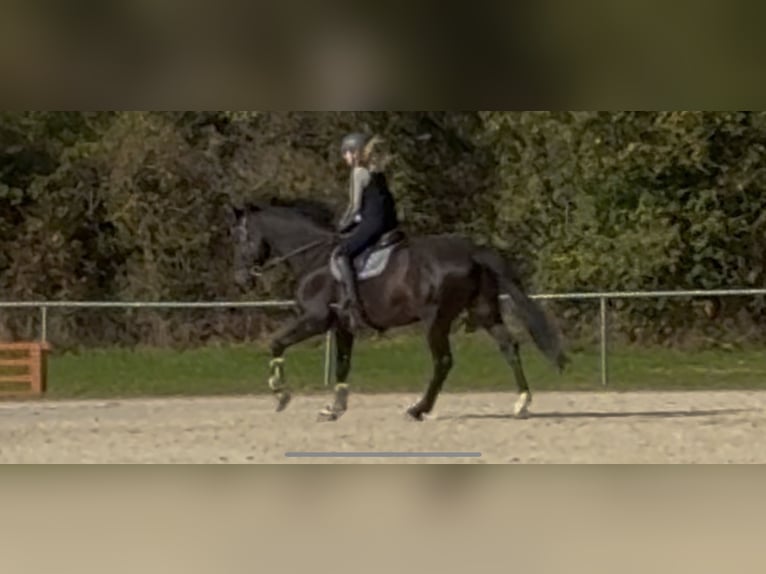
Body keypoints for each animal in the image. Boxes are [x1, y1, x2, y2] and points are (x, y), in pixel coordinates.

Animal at [229, 197, 568, 421]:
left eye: (240, 236)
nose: (240, 278)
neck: (314, 258)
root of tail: (473, 250)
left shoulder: (315, 319)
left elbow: (276, 342)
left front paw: (281, 394)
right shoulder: (343, 326)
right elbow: (342, 365)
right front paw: (334, 407)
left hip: (435, 320)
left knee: (443, 362)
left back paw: (418, 409)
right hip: (484, 311)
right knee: (509, 346)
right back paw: (522, 403)